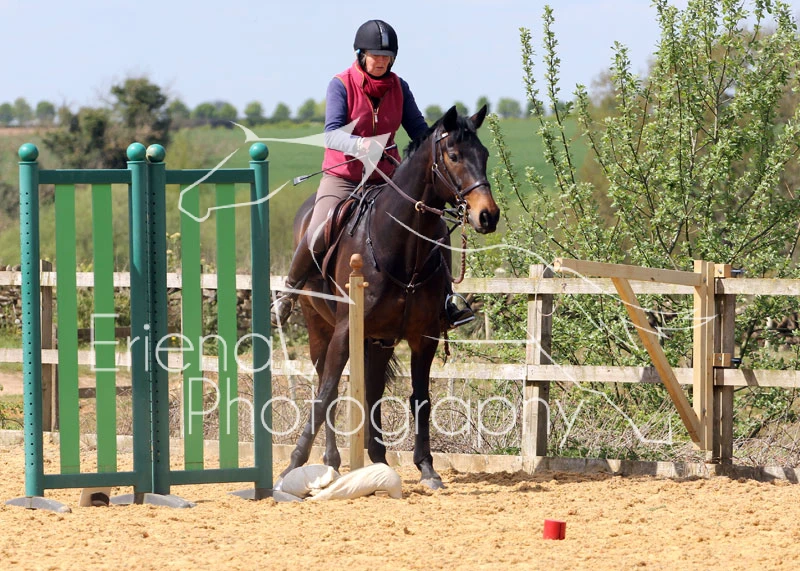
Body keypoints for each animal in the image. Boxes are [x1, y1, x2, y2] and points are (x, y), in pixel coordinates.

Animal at [281, 105, 500, 489]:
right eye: (454, 156)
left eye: (484, 155)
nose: (487, 215)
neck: (400, 245)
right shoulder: (344, 332)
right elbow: (325, 394)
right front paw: (292, 464)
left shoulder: (423, 337)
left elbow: (420, 398)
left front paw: (426, 467)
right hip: (319, 327)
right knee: (329, 387)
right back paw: (332, 460)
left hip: (379, 340)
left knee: (372, 391)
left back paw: (378, 459)